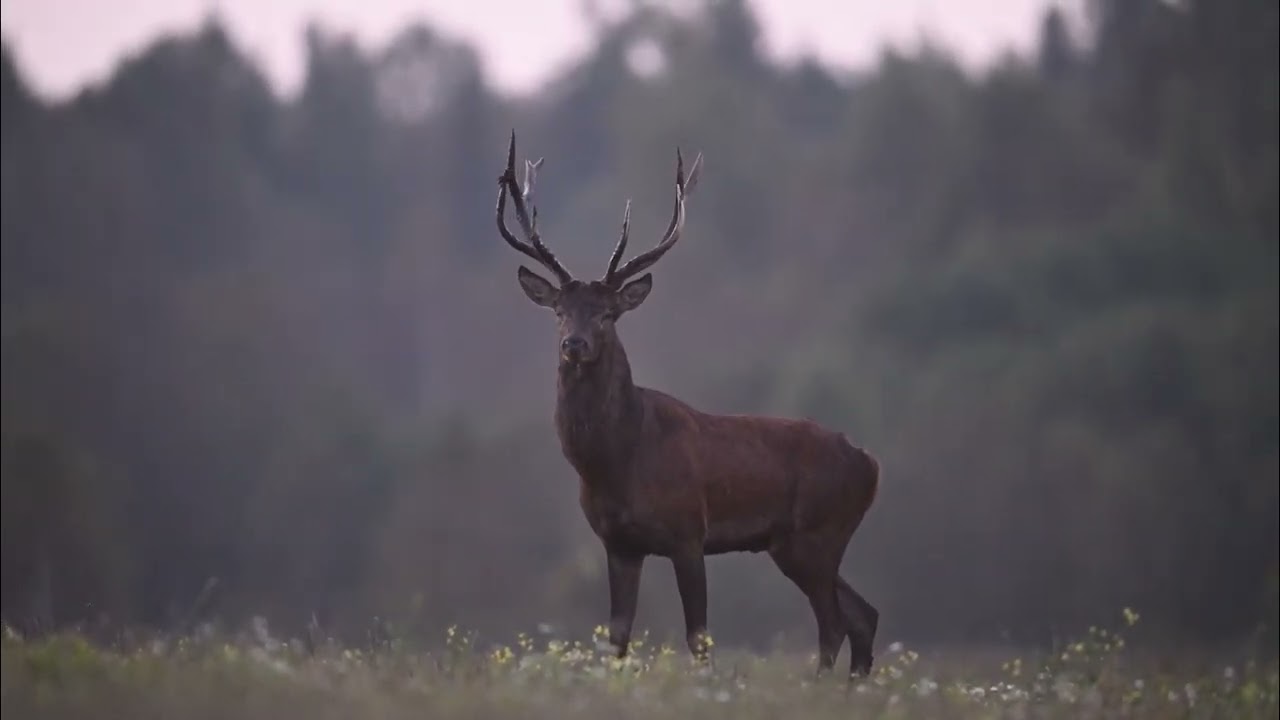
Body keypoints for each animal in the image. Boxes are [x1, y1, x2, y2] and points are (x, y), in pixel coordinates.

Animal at [493, 132, 882, 677]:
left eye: (608, 314)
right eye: (559, 312)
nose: (574, 345)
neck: (617, 461)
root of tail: (870, 464)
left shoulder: (688, 532)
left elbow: (699, 636)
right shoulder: (618, 543)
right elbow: (617, 638)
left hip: (818, 532)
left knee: (834, 623)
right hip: (795, 543)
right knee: (863, 615)